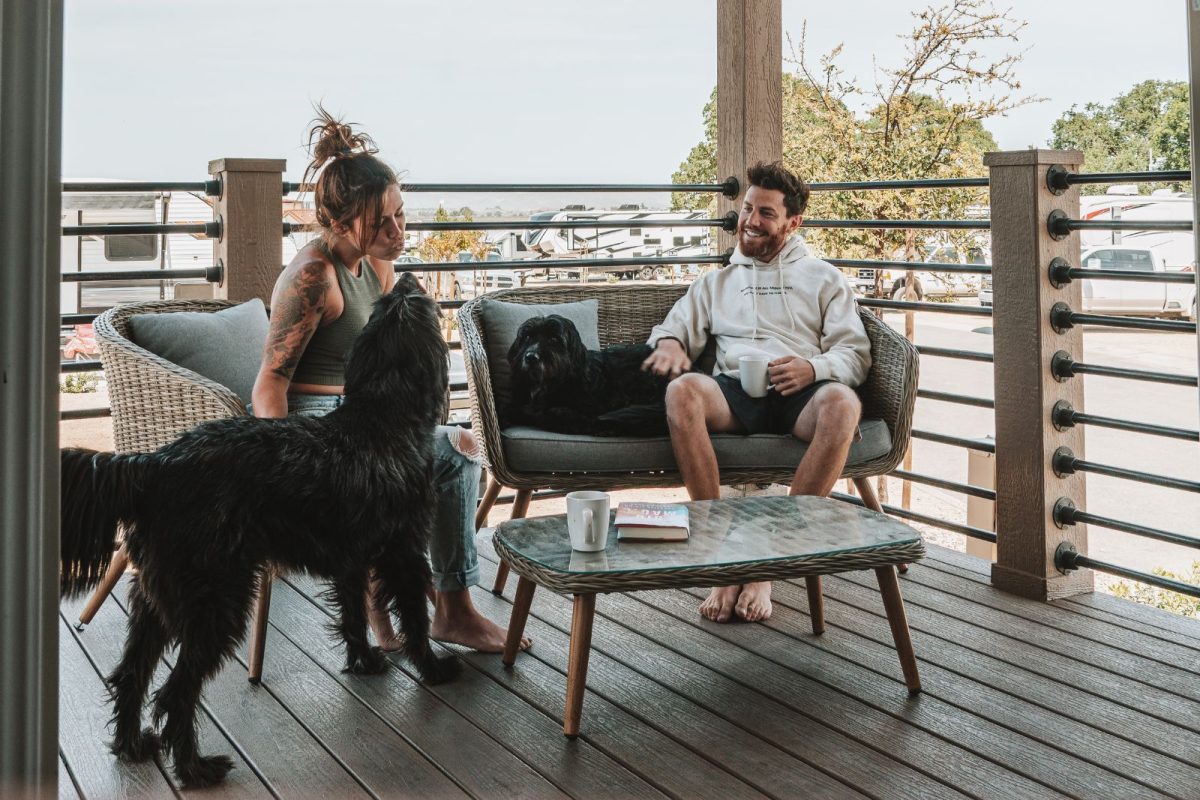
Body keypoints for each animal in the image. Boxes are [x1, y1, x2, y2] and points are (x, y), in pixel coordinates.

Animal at [60, 273, 463, 786]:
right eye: (418, 304)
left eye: (387, 304)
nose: (409, 277)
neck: (381, 417)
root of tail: (157, 463)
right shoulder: (405, 550)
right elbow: (414, 615)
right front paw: (432, 667)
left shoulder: (351, 556)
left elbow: (354, 613)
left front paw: (363, 660)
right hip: (216, 600)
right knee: (175, 693)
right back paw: (195, 768)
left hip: (156, 598)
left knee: (131, 675)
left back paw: (132, 746)